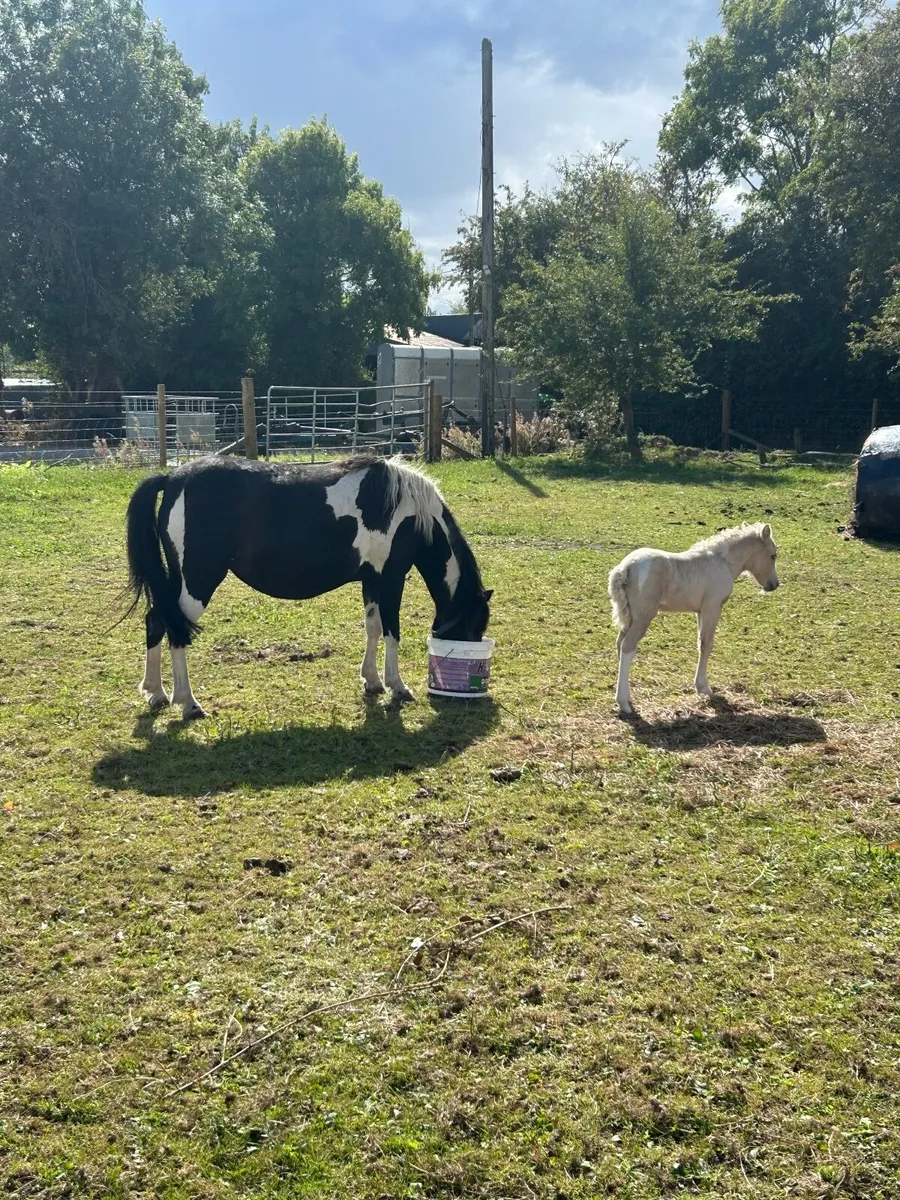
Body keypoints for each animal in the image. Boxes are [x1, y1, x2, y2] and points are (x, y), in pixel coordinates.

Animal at [124, 455, 492, 719]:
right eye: (472, 628)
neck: (408, 511)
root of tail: (173, 478)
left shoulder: (372, 580)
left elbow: (372, 628)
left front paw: (372, 681)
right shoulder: (390, 580)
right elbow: (391, 633)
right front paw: (397, 686)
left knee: (156, 621)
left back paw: (157, 693)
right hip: (197, 583)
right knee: (176, 631)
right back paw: (188, 703)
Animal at [608, 523, 779, 715]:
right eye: (773, 555)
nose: (774, 585)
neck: (722, 562)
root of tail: (625, 568)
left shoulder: (700, 611)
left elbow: (700, 643)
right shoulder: (712, 608)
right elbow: (707, 644)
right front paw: (703, 687)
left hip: (629, 617)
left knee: (620, 644)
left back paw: (628, 699)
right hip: (643, 617)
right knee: (627, 647)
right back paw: (623, 703)